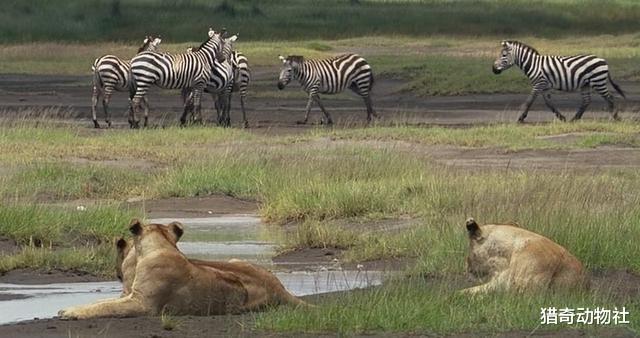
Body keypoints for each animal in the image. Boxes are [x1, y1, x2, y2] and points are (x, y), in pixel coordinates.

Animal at [60, 219, 308, 320]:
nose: (117, 274)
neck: (161, 246)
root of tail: (279, 288)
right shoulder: (129, 295)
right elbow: (101, 302)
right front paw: (69, 309)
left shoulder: (142, 304)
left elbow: (106, 307)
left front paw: (71, 312)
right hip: (236, 259)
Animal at [490, 40, 624, 123]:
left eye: (504, 55)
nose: (493, 70)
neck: (533, 64)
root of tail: (603, 59)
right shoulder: (544, 86)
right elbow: (549, 103)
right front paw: (562, 117)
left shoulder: (538, 84)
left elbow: (529, 101)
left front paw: (520, 118)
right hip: (586, 84)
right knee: (587, 101)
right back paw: (575, 119)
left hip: (598, 81)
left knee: (610, 97)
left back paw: (615, 117)